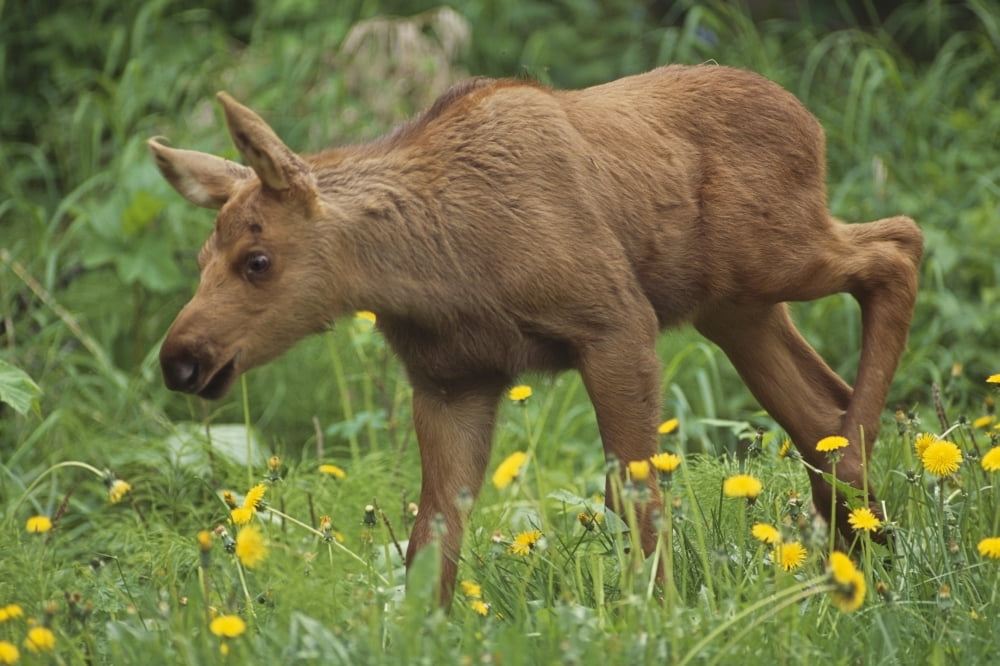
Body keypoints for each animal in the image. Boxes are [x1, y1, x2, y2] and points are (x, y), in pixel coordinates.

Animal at [149, 64, 922, 604]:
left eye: (257, 260)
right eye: (200, 259)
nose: (179, 361)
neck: (436, 275)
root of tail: (811, 123)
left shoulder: (616, 323)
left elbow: (635, 495)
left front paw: (659, 611)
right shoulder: (451, 381)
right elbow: (432, 538)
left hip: (772, 253)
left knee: (898, 245)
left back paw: (862, 496)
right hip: (735, 306)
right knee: (818, 408)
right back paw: (861, 543)